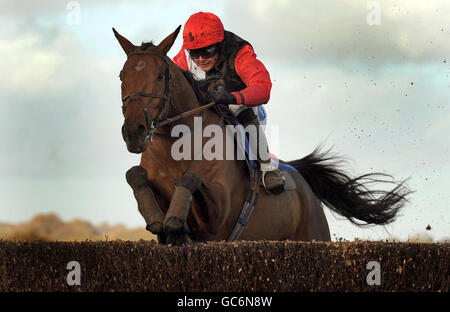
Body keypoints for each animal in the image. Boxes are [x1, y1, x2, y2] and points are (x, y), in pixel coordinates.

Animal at [112, 26, 412, 245]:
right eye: (122, 76)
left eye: (161, 76)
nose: (133, 132)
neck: (177, 149)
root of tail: (304, 184)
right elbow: (134, 176)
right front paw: (160, 221)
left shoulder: (218, 214)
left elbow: (190, 179)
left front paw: (174, 221)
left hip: (314, 235)